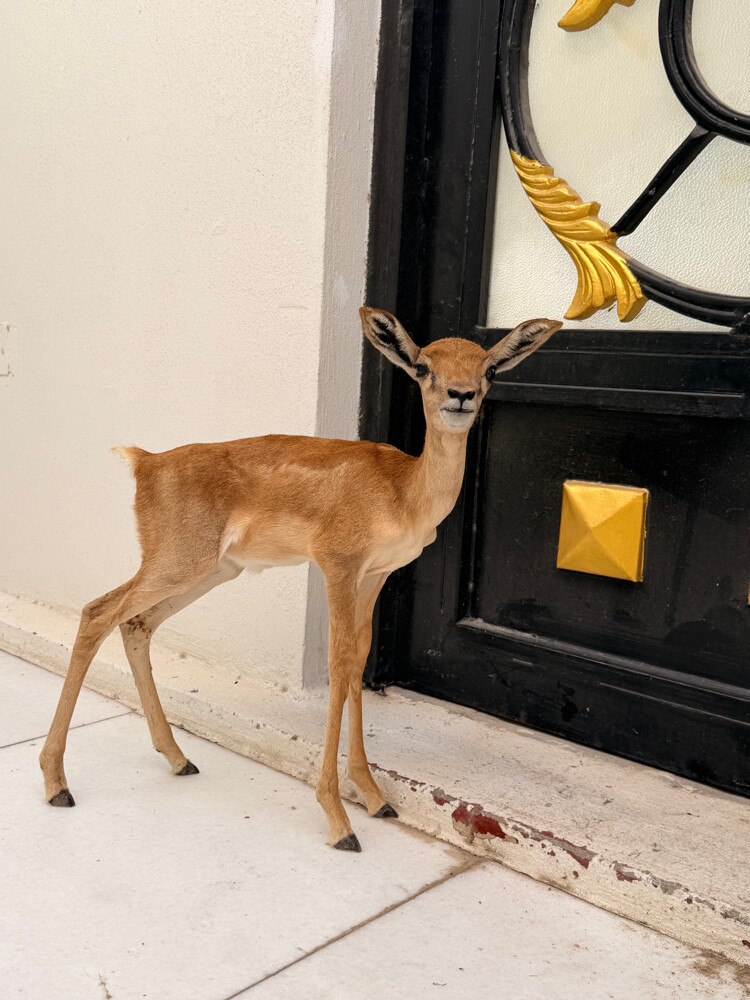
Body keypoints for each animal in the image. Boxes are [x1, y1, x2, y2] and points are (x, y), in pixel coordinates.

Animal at [39, 308, 560, 851]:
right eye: (422, 367)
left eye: (490, 369)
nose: (461, 395)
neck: (403, 490)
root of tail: (146, 461)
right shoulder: (337, 565)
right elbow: (337, 662)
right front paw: (339, 819)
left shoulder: (376, 575)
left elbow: (358, 660)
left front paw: (375, 796)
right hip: (175, 564)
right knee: (96, 612)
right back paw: (57, 784)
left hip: (209, 573)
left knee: (136, 624)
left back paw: (179, 759)